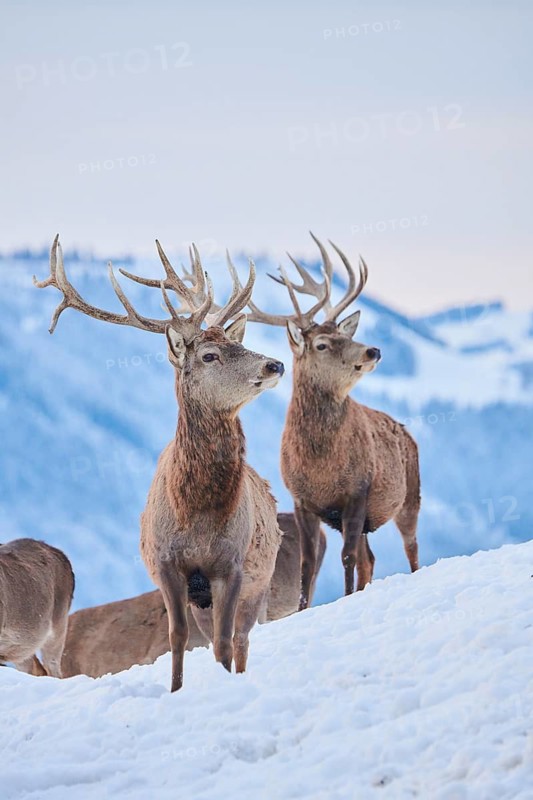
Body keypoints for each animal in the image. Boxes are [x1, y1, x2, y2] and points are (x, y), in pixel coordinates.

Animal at [34, 235, 285, 691]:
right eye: (209, 355)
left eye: (238, 343)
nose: (274, 364)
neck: (198, 514)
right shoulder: (168, 563)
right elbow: (178, 636)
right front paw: (176, 690)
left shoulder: (233, 564)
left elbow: (224, 640)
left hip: (262, 577)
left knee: (241, 637)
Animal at [244, 233, 421, 610]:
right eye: (323, 344)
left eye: (347, 335)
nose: (373, 350)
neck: (320, 464)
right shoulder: (301, 500)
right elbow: (308, 565)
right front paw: (303, 609)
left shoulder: (357, 489)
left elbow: (346, 557)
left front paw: (347, 597)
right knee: (370, 558)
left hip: (410, 494)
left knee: (409, 546)